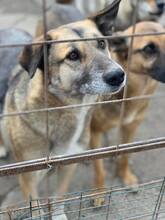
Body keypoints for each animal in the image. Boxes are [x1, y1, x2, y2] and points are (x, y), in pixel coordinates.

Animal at [1, 0, 125, 218]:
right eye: (73, 55)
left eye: (102, 44)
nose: (118, 75)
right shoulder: (28, 177)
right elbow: (36, 209)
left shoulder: (67, 166)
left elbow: (59, 198)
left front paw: (59, 215)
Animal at [90, 21, 165, 205]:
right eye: (149, 48)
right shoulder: (94, 130)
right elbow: (98, 166)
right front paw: (99, 192)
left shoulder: (131, 126)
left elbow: (124, 155)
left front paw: (126, 176)